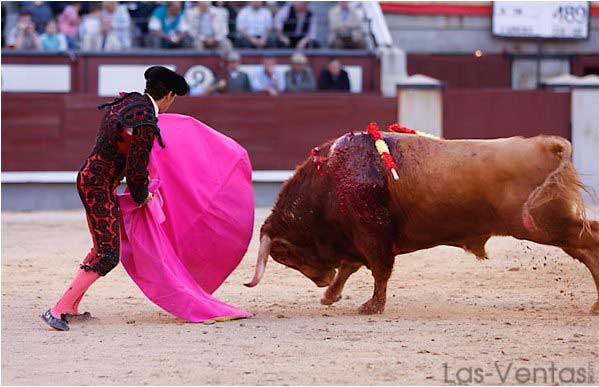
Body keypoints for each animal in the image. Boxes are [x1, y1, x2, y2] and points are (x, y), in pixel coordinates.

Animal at [245, 129, 599, 316]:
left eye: (284, 255)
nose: (320, 280)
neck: (329, 178)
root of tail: (549, 144)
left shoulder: (372, 235)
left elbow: (379, 271)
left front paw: (371, 306)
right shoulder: (358, 238)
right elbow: (351, 267)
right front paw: (330, 295)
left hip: (545, 224)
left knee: (591, 242)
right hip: (553, 226)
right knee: (588, 247)